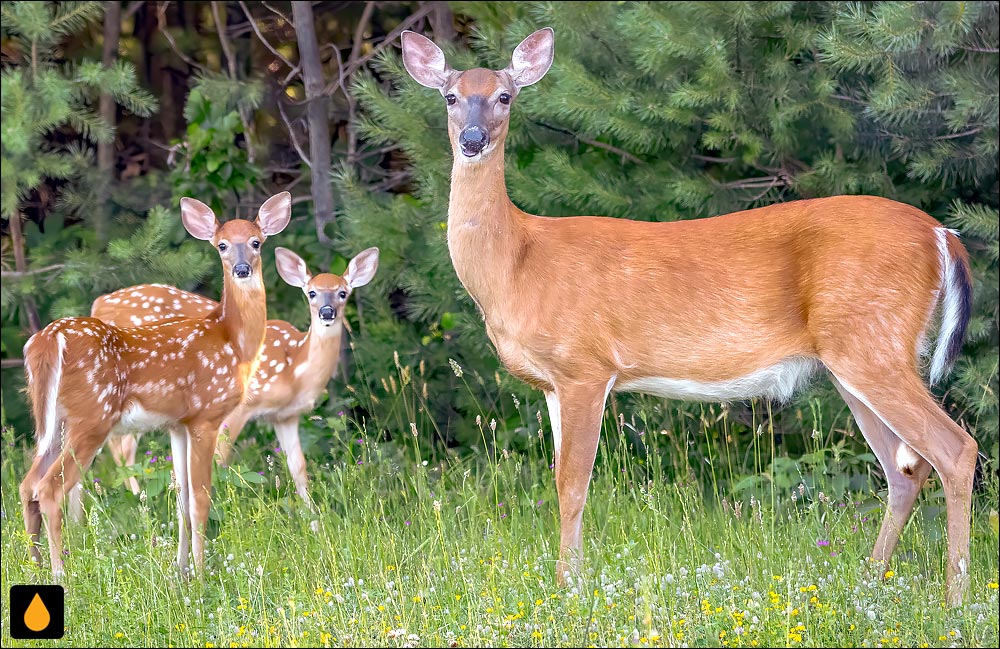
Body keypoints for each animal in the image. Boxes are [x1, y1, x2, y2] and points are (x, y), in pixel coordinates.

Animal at [20, 190, 290, 576]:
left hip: (52, 419)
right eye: (222, 245)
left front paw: (181, 570)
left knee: (28, 484)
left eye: (256, 242)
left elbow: (181, 498)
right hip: (92, 416)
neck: (232, 341)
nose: (242, 269)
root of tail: (48, 340)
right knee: (49, 488)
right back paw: (61, 573)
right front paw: (202, 574)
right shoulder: (206, 415)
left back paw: (36, 565)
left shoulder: (177, 424)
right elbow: (201, 499)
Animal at [87, 247, 378, 506]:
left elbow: (299, 468)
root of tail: (98, 304)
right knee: (121, 447)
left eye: (343, 292)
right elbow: (221, 460)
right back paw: (137, 500)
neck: (294, 369)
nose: (327, 312)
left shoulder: (285, 415)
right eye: (312, 293)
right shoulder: (241, 405)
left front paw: (313, 518)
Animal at [400, 25, 976, 604]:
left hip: (873, 343)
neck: (518, 263)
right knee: (905, 467)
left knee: (955, 448)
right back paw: (868, 581)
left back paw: (955, 597)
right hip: (853, 360)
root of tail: (942, 235)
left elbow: (572, 484)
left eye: (504, 96)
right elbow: (562, 479)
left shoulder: (585, 366)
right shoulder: (552, 383)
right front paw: (572, 582)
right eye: (450, 97)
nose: (473, 139)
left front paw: (570, 588)